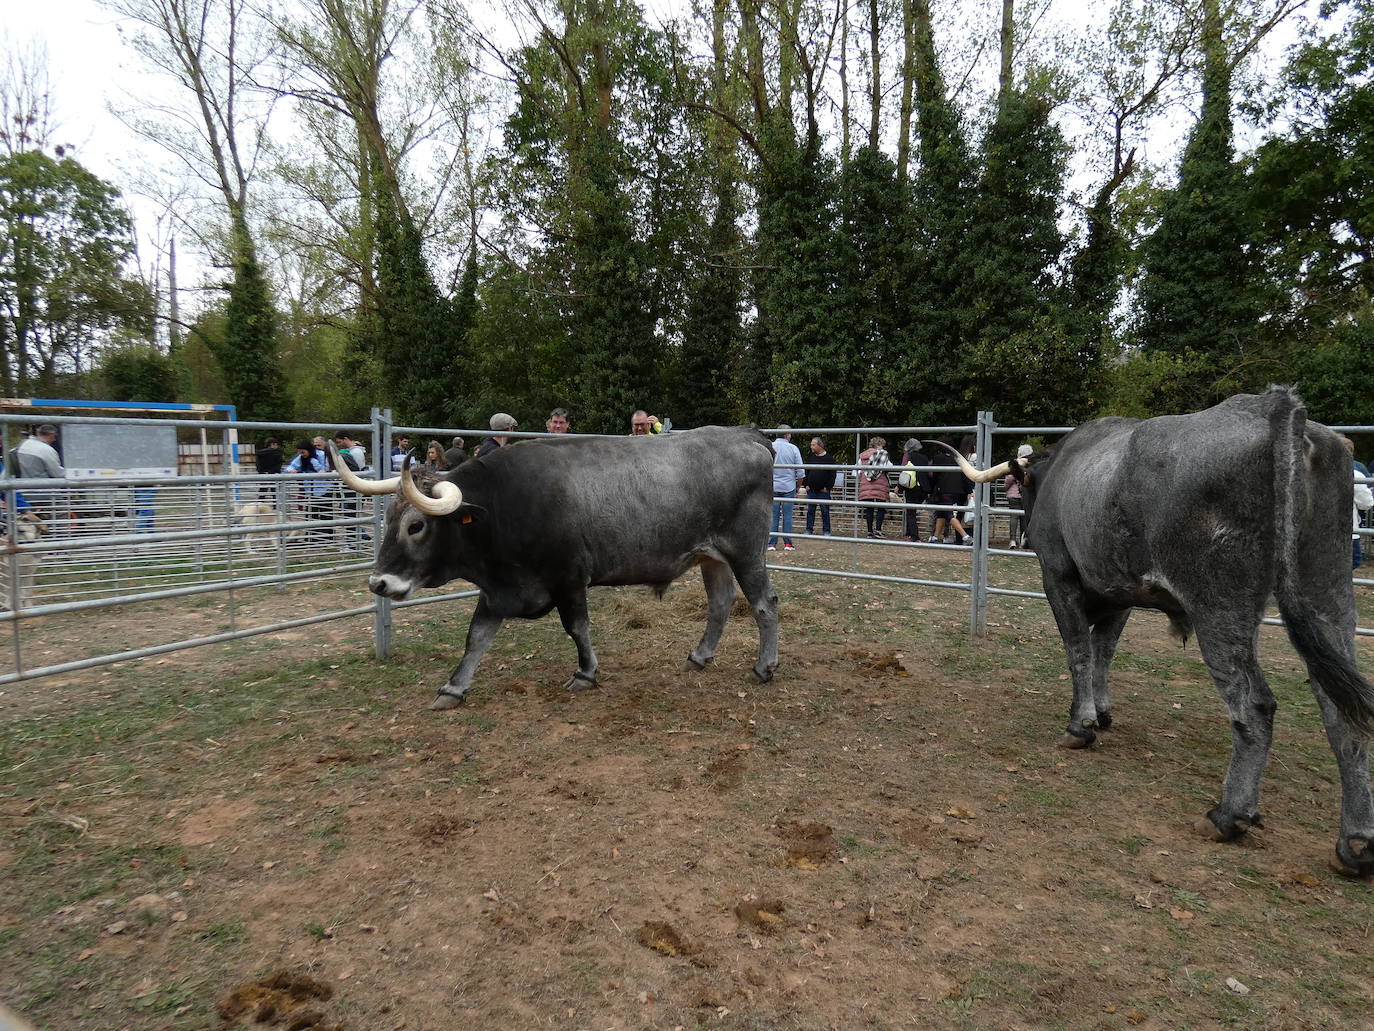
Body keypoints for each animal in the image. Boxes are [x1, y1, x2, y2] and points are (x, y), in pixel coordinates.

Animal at [934, 390, 1374, 874]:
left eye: (1026, 489)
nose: (1027, 532)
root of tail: (1274, 407)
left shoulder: (1059, 578)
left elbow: (1079, 650)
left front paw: (1080, 725)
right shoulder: (1119, 594)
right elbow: (1103, 650)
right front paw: (1101, 711)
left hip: (1218, 603)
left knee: (1254, 704)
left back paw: (1228, 815)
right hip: (1327, 592)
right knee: (1341, 708)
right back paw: (1355, 842)